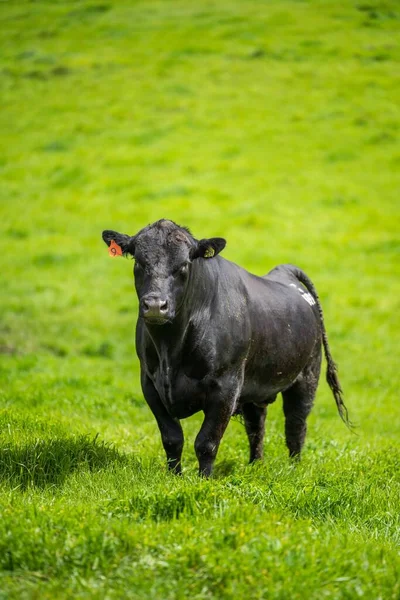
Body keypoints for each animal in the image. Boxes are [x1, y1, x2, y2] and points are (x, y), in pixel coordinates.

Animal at [103, 218, 350, 476]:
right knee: (256, 426)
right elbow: (172, 438)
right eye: (139, 262)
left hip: (307, 376)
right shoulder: (150, 383)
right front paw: (174, 476)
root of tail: (284, 273)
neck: (171, 348)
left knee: (295, 425)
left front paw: (204, 479)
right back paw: (255, 466)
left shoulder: (226, 385)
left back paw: (293, 469)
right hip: (255, 384)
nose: (154, 305)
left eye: (184, 265)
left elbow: (206, 442)